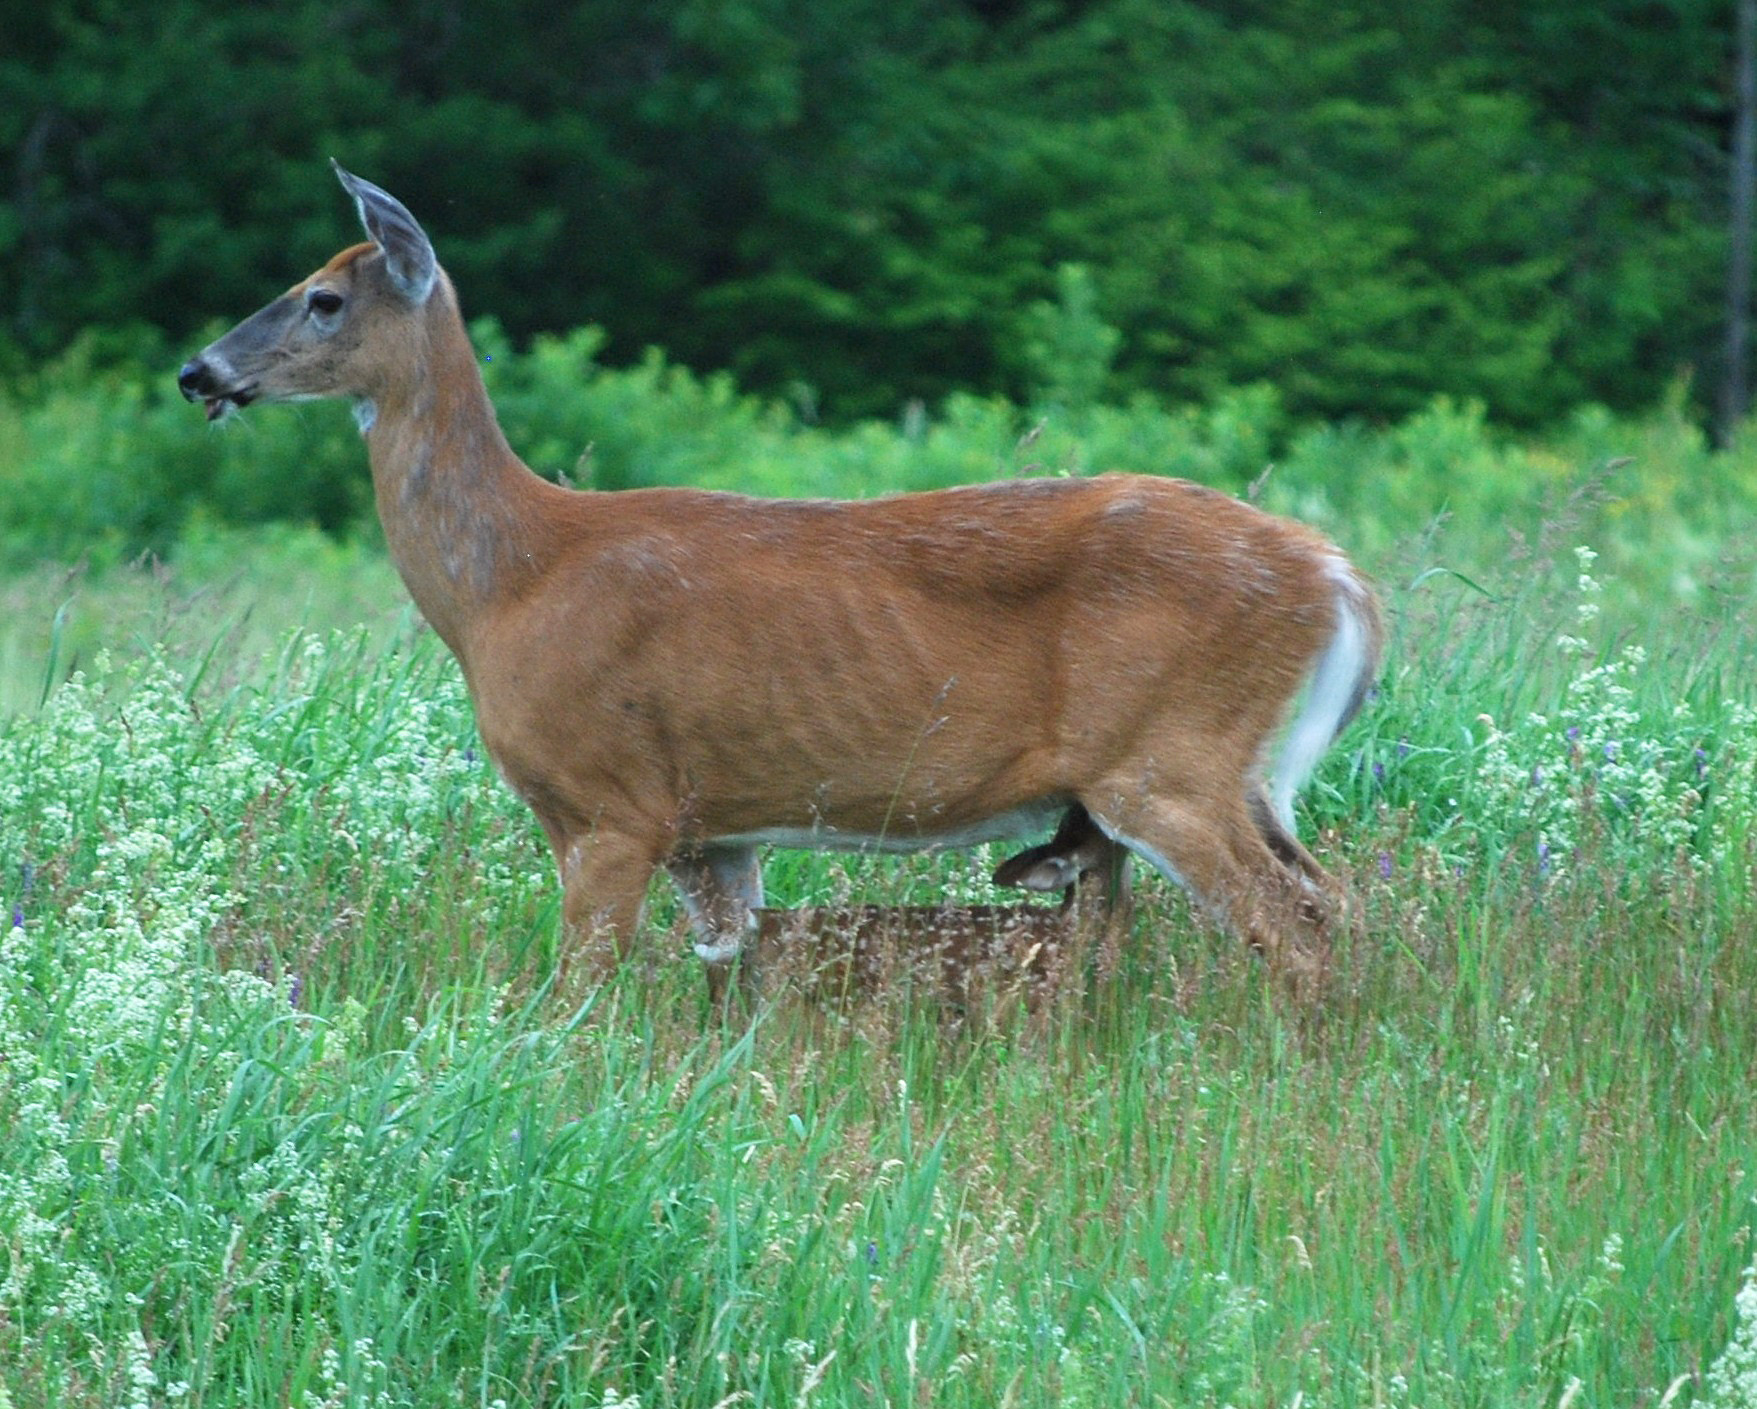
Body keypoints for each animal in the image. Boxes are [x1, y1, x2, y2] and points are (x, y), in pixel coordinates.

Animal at [181, 165, 1384, 990]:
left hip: (1166, 754)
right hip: (1230, 770)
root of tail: (1337, 576)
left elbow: (574, 999)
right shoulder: (718, 835)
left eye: (323, 298)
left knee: (1294, 924)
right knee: (1328, 900)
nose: (200, 369)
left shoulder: (610, 802)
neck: (507, 586)